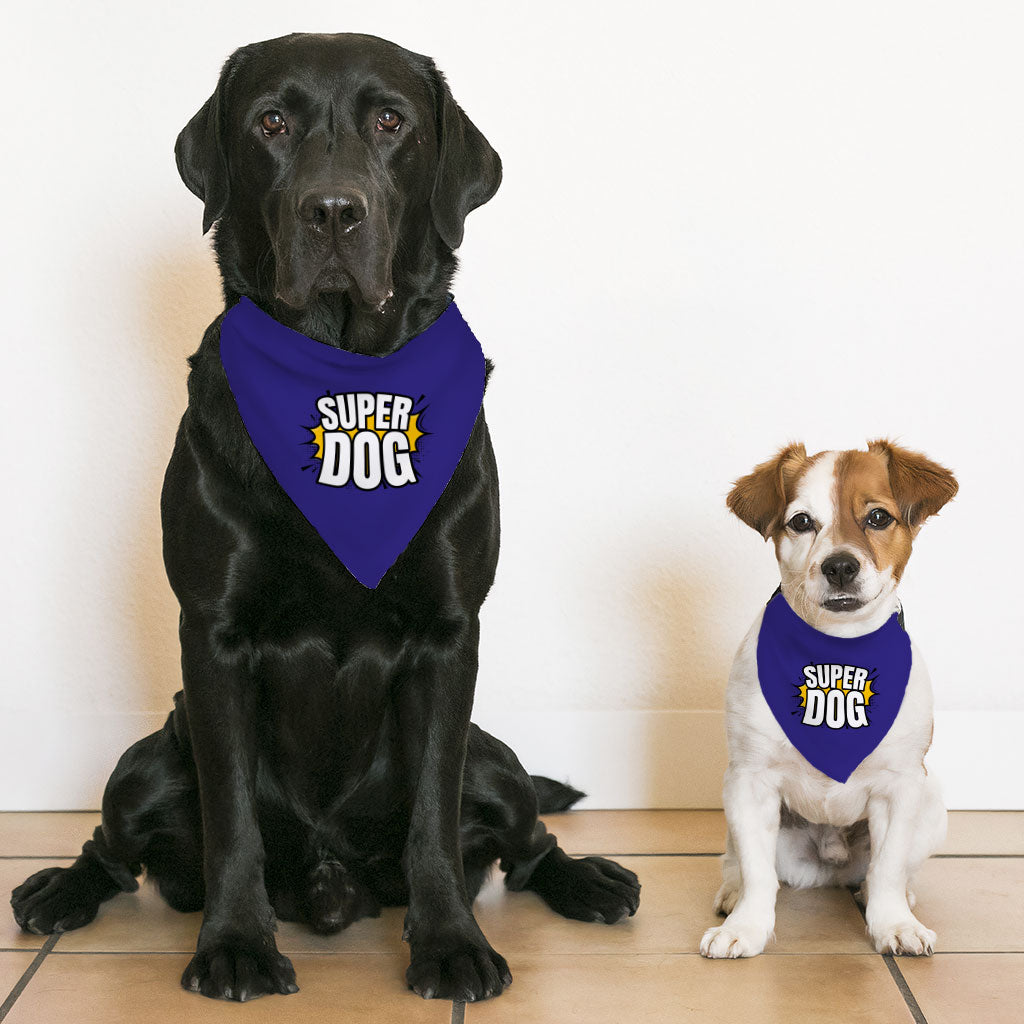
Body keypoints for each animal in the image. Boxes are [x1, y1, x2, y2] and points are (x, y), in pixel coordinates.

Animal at [700, 440, 954, 958]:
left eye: (878, 517)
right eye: (801, 522)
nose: (839, 565)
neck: (837, 653)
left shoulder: (900, 787)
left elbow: (888, 868)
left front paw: (893, 923)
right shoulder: (750, 783)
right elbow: (758, 873)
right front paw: (746, 926)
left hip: (932, 802)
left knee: (884, 871)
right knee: (739, 862)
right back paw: (731, 892)